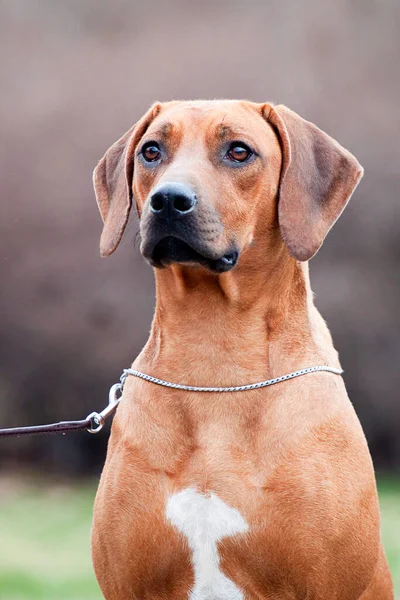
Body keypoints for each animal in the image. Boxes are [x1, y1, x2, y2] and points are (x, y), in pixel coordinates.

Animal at [90, 101, 394, 596]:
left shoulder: (325, 582)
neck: (215, 359)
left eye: (238, 151)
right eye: (151, 151)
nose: (168, 200)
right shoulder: (126, 583)